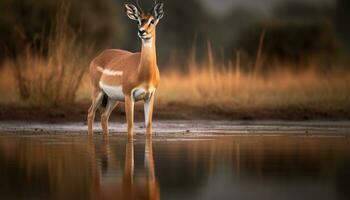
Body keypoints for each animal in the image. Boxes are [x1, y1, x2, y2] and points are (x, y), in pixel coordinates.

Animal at [87, 0, 164, 136]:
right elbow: (130, 126)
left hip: (113, 98)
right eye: (138, 21)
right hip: (98, 92)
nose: (141, 32)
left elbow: (148, 126)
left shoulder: (149, 96)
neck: (143, 73)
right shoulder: (129, 95)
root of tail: (98, 57)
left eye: (152, 21)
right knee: (91, 113)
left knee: (104, 116)